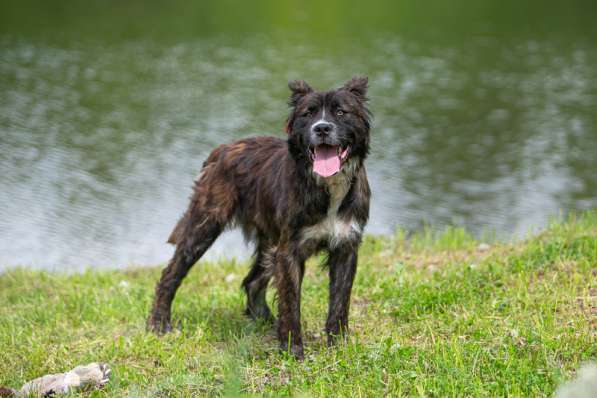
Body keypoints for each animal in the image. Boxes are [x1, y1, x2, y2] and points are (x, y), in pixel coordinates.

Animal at [147, 76, 370, 360]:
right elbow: (291, 303)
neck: (327, 186)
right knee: (170, 273)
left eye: (341, 112)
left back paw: (265, 321)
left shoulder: (345, 247)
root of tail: (223, 149)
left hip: (268, 243)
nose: (321, 128)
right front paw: (293, 350)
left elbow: (340, 302)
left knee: (252, 281)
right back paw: (159, 323)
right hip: (204, 226)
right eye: (308, 114)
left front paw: (339, 346)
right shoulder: (289, 252)